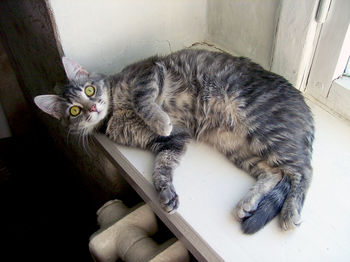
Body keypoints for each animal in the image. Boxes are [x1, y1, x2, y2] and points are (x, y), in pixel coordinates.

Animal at [34, 49, 314, 233]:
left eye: (90, 90)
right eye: (74, 111)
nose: (92, 108)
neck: (115, 112)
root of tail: (304, 105)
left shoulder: (148, 73)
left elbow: (142, 100)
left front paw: (159, 119)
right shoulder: (170, 142)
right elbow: (161, 168)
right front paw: (165, 193)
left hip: (263, 129)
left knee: (303, 172)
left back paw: (290, 211)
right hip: (238, 147)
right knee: (273, 173)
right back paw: (248, 202)